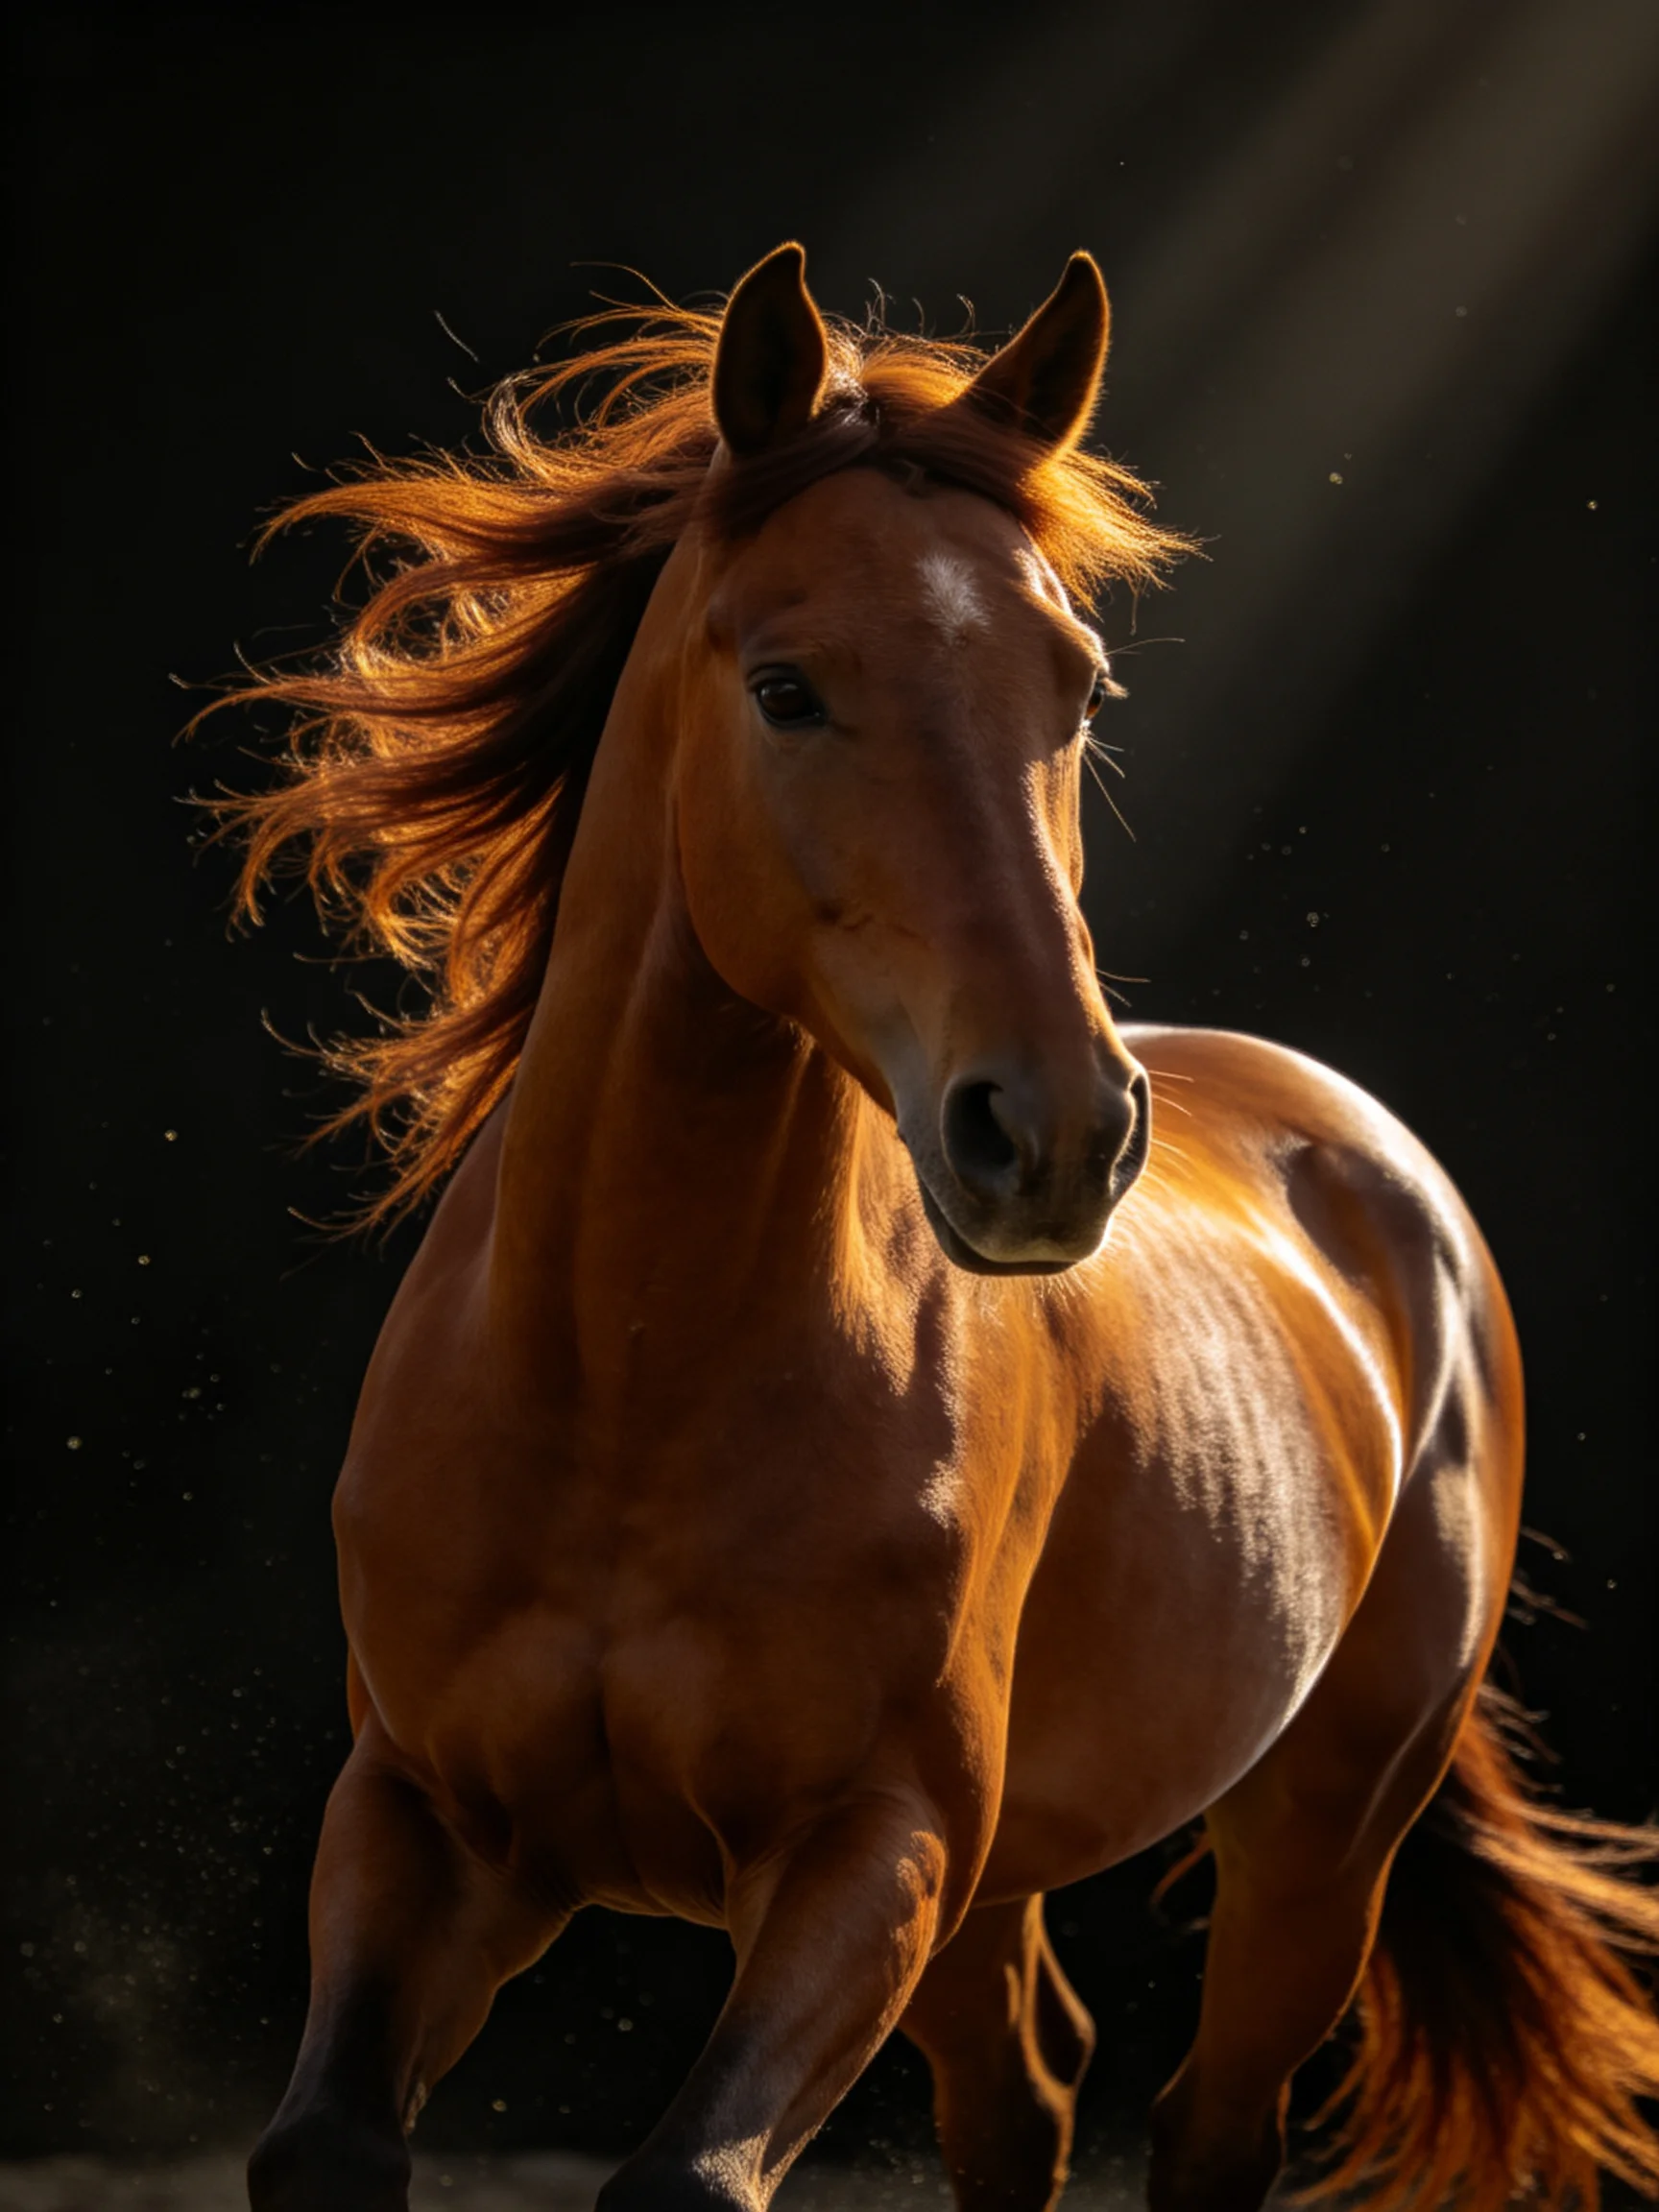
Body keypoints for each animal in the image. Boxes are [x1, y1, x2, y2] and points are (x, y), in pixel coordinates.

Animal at [224, 244, 1659, 2212]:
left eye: (1079, 684)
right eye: (784, 685)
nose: (1052, 1134)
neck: (621, 1388)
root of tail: (1375, 1169)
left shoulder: (872, 1847)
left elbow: (685, 2174)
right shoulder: (422, 1824)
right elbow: (325, 2145)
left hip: (1315, 1830)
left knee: (1206, 2118)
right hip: (1004, 1887)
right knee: (1026, 2088)